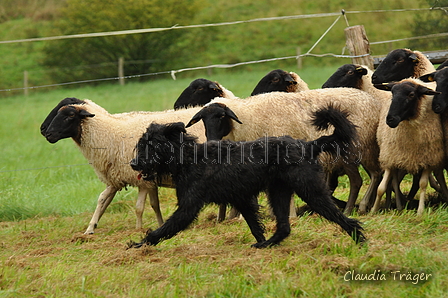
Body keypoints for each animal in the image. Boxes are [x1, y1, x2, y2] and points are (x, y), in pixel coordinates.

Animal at [41, 99, 206, 234]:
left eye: (69, 116)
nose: (47, 133)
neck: (108, 133)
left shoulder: (141, 179)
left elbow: (139, 207)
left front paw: (138, 229)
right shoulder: (119, 177)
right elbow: (103, 200)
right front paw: (90, 228)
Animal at [128, 105, 366, 249]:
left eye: (150, 146)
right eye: (141, 145)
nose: (133, 164)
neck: (189, 158)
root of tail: (307, 146)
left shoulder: (188, 207)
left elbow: (163, 230)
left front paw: (139, 245)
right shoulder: (241, 199)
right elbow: (254, 225)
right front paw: (260, 240)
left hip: (310, 190)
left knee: (341, 217)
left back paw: (359, 239)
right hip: (278, 192)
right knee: (284, 227)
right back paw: (267, 245)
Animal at [201, 88, 384, 214]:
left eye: (221, 116)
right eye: (203, 119)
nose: (211, 141)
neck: (249, 119)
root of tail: (372, 101)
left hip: (356, 149)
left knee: (363, 179)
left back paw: (354, 208)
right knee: (372, 175)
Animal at [372, 78, 444, 215]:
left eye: (411, 95)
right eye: (392, 93)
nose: (390, 119)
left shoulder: (428, 159)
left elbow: (423, 184)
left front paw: (420, 211)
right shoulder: (390, 156)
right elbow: (381, 188)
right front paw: (373, 210)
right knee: (395, 181)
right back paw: (401, 205)